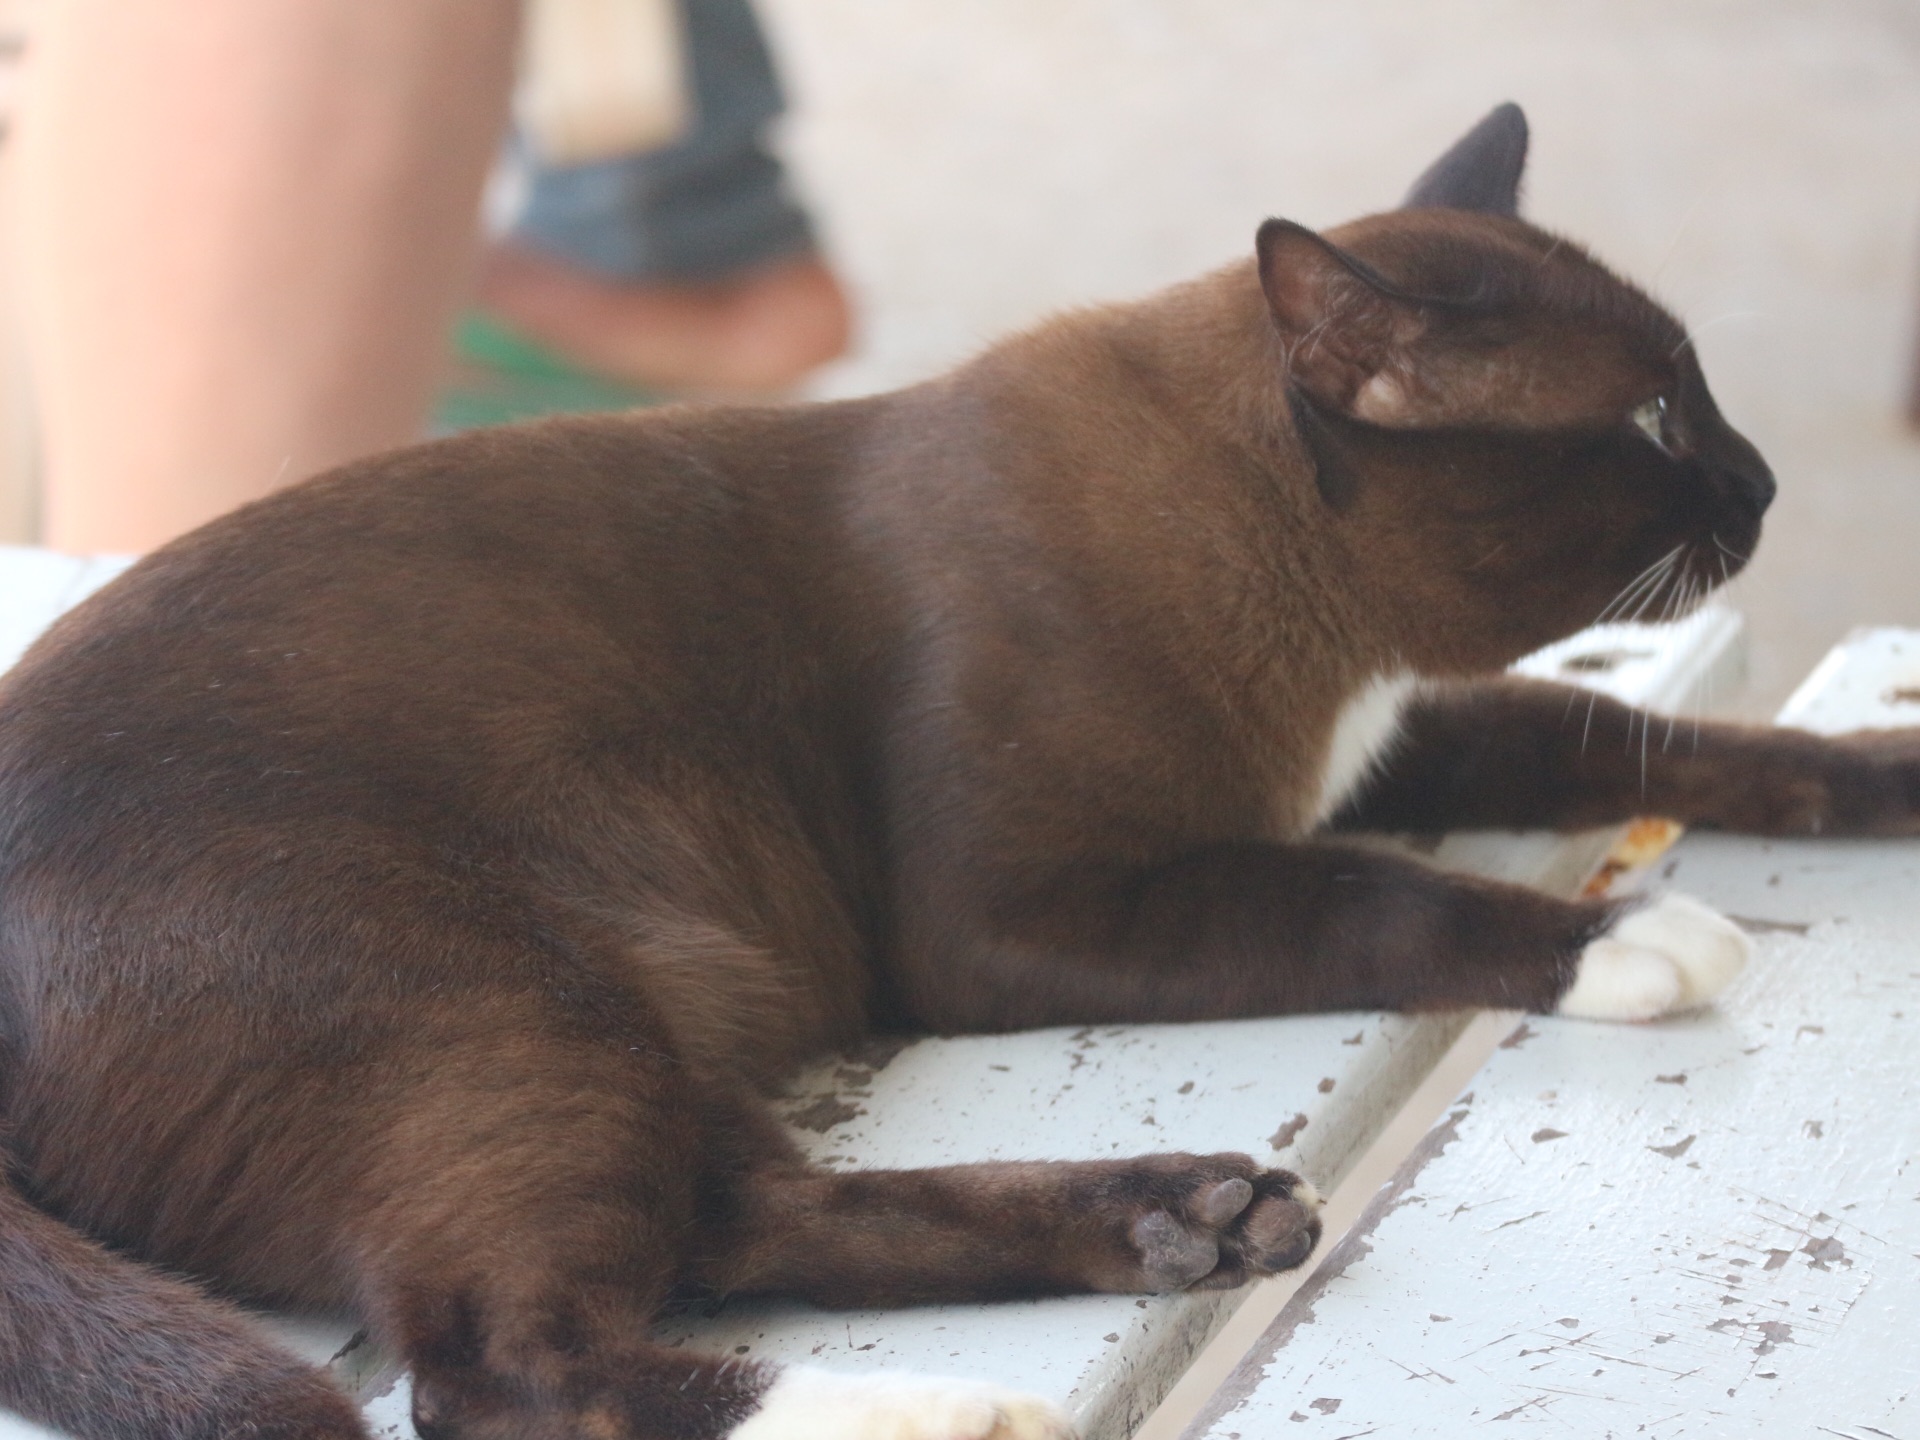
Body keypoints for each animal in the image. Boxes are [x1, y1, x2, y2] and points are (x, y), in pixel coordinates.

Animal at [3, 109, 1920, 1440]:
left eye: (1700, 401)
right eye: (1656, 420)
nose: (1758, 478)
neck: (1313, 621)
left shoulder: (1376, 742)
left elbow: (1649, 739)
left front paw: (1887, 769)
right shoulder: (1022, 915)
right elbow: (1375, 896)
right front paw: (1627, 941)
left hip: (631, 1014)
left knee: (739, 1221)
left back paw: (1186, 1221)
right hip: (515, 997)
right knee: (501, 1367)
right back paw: (942, 1404)